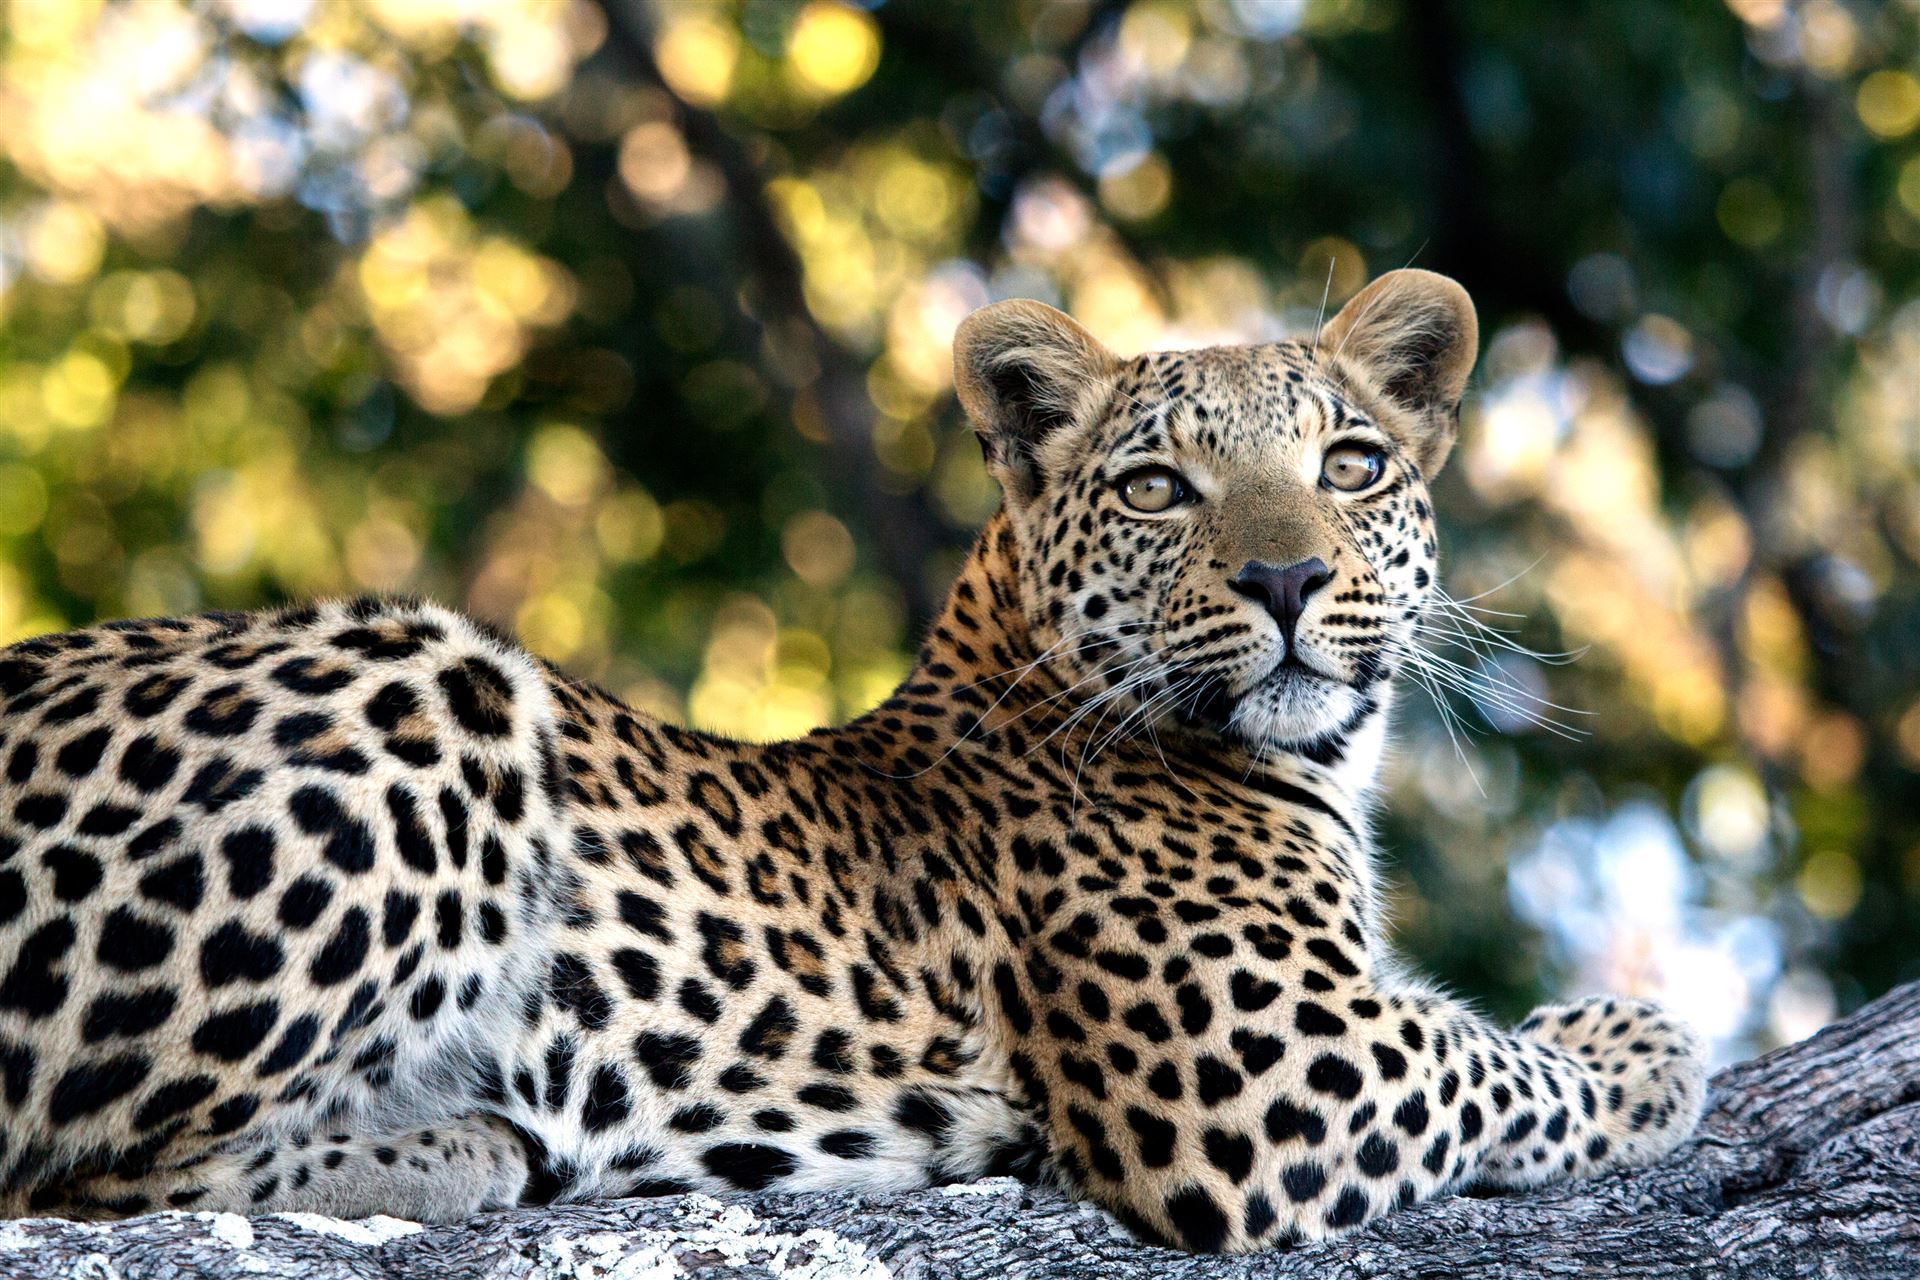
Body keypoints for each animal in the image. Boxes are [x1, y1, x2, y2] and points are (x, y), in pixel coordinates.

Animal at [0, 269, 1705, 1252]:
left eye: (1349, 466)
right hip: (433, 677)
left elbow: (1478, 1041)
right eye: (1157, 488)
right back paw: (466, 1145)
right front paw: (1639, 1044)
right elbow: (1497, 1065)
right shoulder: (1272, 1078)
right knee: (86, 1168)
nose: (1286, 581)